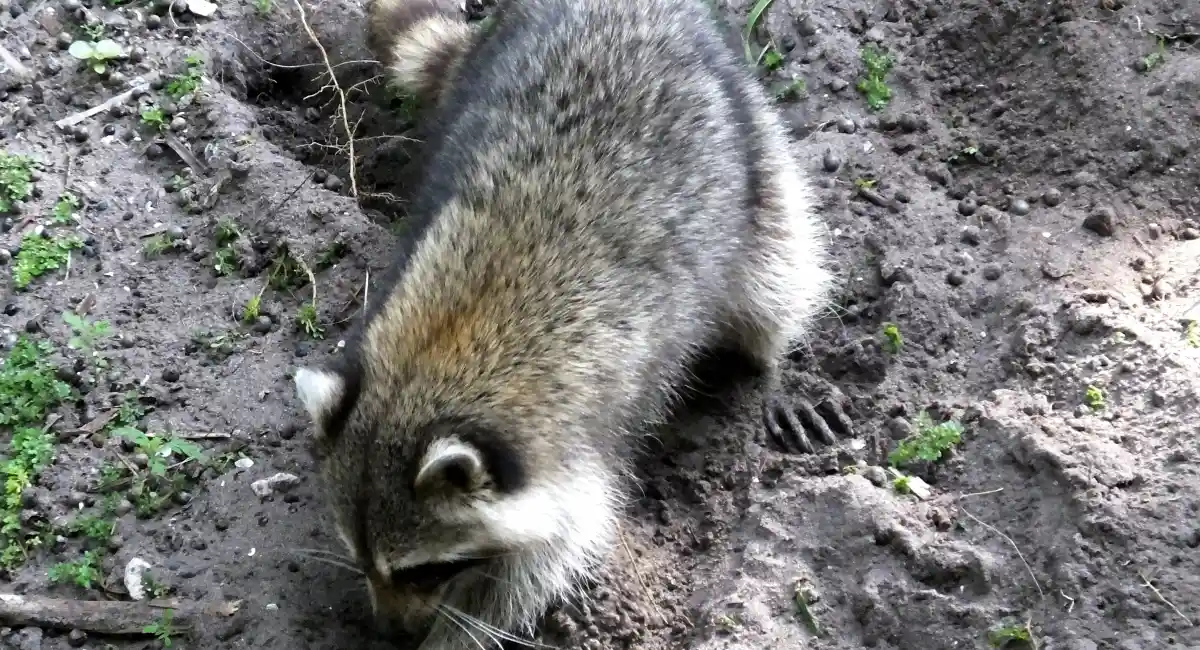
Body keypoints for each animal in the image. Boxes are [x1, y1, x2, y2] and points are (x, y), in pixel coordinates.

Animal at [292, 0, 836, 647]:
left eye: (424, 569)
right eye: (361, 558)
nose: (390, 632)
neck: (440, 350)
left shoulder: (576, 454)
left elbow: (537, 567)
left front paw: (457, 630)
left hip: (750, 138)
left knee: (775, 270)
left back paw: (771, 359)